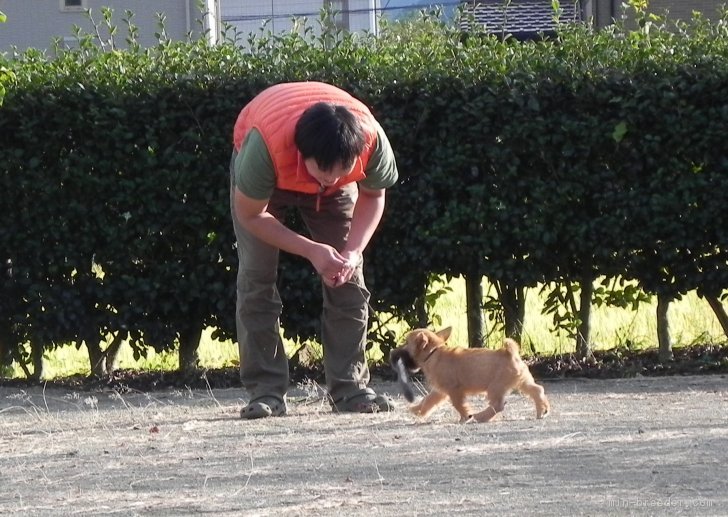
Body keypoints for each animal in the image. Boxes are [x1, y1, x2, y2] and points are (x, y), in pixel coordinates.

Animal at [390, 326, 548, 424]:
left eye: (406, 342)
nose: (393, 352)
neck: (434, 353)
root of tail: (510, 353)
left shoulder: (454, 391)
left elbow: (459, 405)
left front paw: (466, 416)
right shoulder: (440, 392)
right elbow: (427, 401)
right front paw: (417, 409)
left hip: (495, 387)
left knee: (498, 405)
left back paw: (480, 416)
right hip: (522, 382)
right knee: (537, 390)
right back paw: (542, 410)